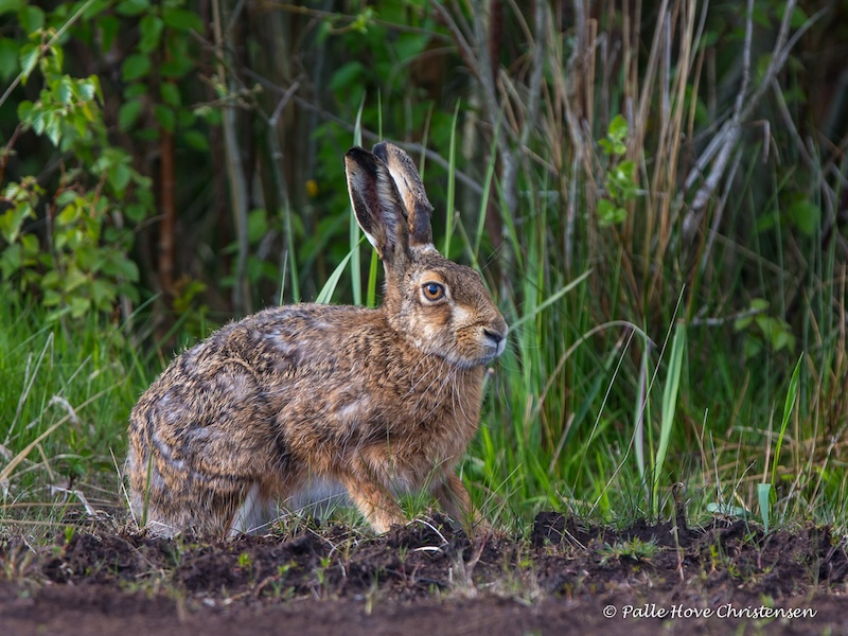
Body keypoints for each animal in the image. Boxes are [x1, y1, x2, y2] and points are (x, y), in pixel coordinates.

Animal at [126, 142, 508, 537]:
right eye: (433, 291)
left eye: (475, 278)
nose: (498, 332)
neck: (412, 345)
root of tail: (140, 481)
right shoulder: (335, 442)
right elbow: (371, 494)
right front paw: (401, 531)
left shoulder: (436, 469)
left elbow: (458, 498)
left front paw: (488, 534)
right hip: (237, 449)